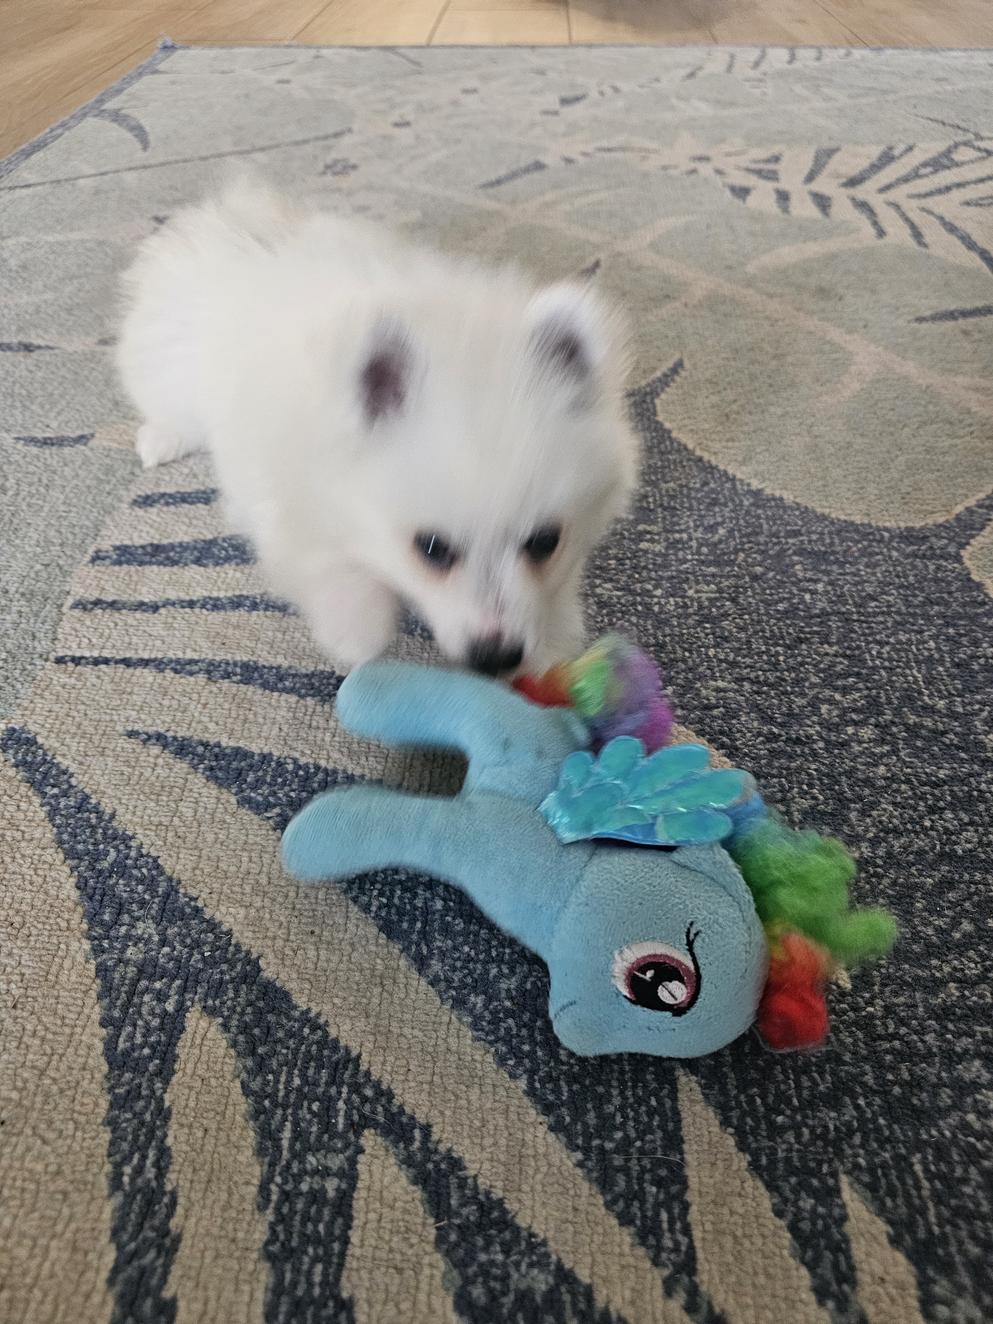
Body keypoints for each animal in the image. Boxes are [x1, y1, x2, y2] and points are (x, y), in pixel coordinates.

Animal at [117, 179, 637, 675]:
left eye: (545, 541)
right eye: (432, 549)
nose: (497, 656)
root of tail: (234, 216)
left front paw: (554, 634)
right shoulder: (282, 490)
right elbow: (327, 562)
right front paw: (356, 629)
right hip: (166, 366)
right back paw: (160, 439)